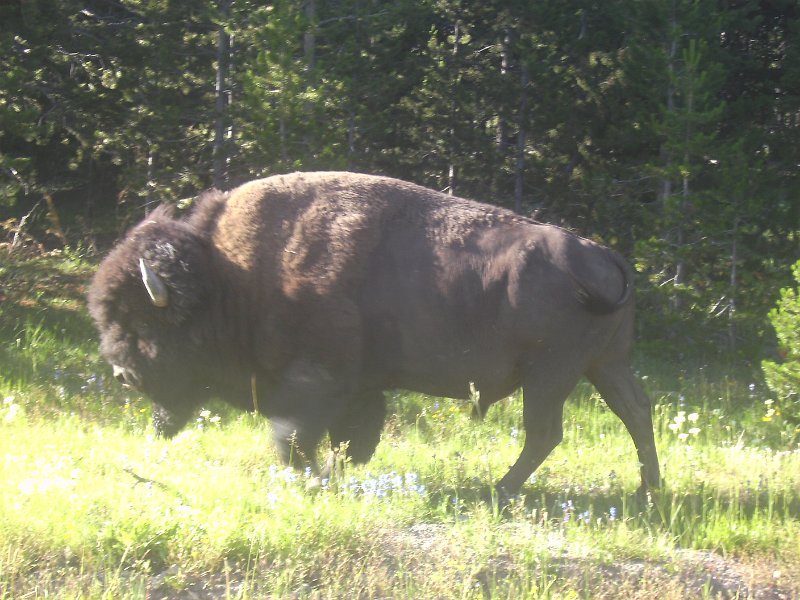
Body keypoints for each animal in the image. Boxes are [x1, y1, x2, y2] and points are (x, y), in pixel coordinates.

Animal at [89, 170, 664, 496]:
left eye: (143, 321)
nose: (121, 374)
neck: (228, 274)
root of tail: (603, 254)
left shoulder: (317, 380)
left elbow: (292, 435)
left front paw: (314, 479)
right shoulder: (360, 389)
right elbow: (351, 439)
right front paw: (334, 474)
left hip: (551, 374)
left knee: (547, 432)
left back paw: (500, 491)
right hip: (604, 366)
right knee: (636, 412)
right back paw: (649, 490)